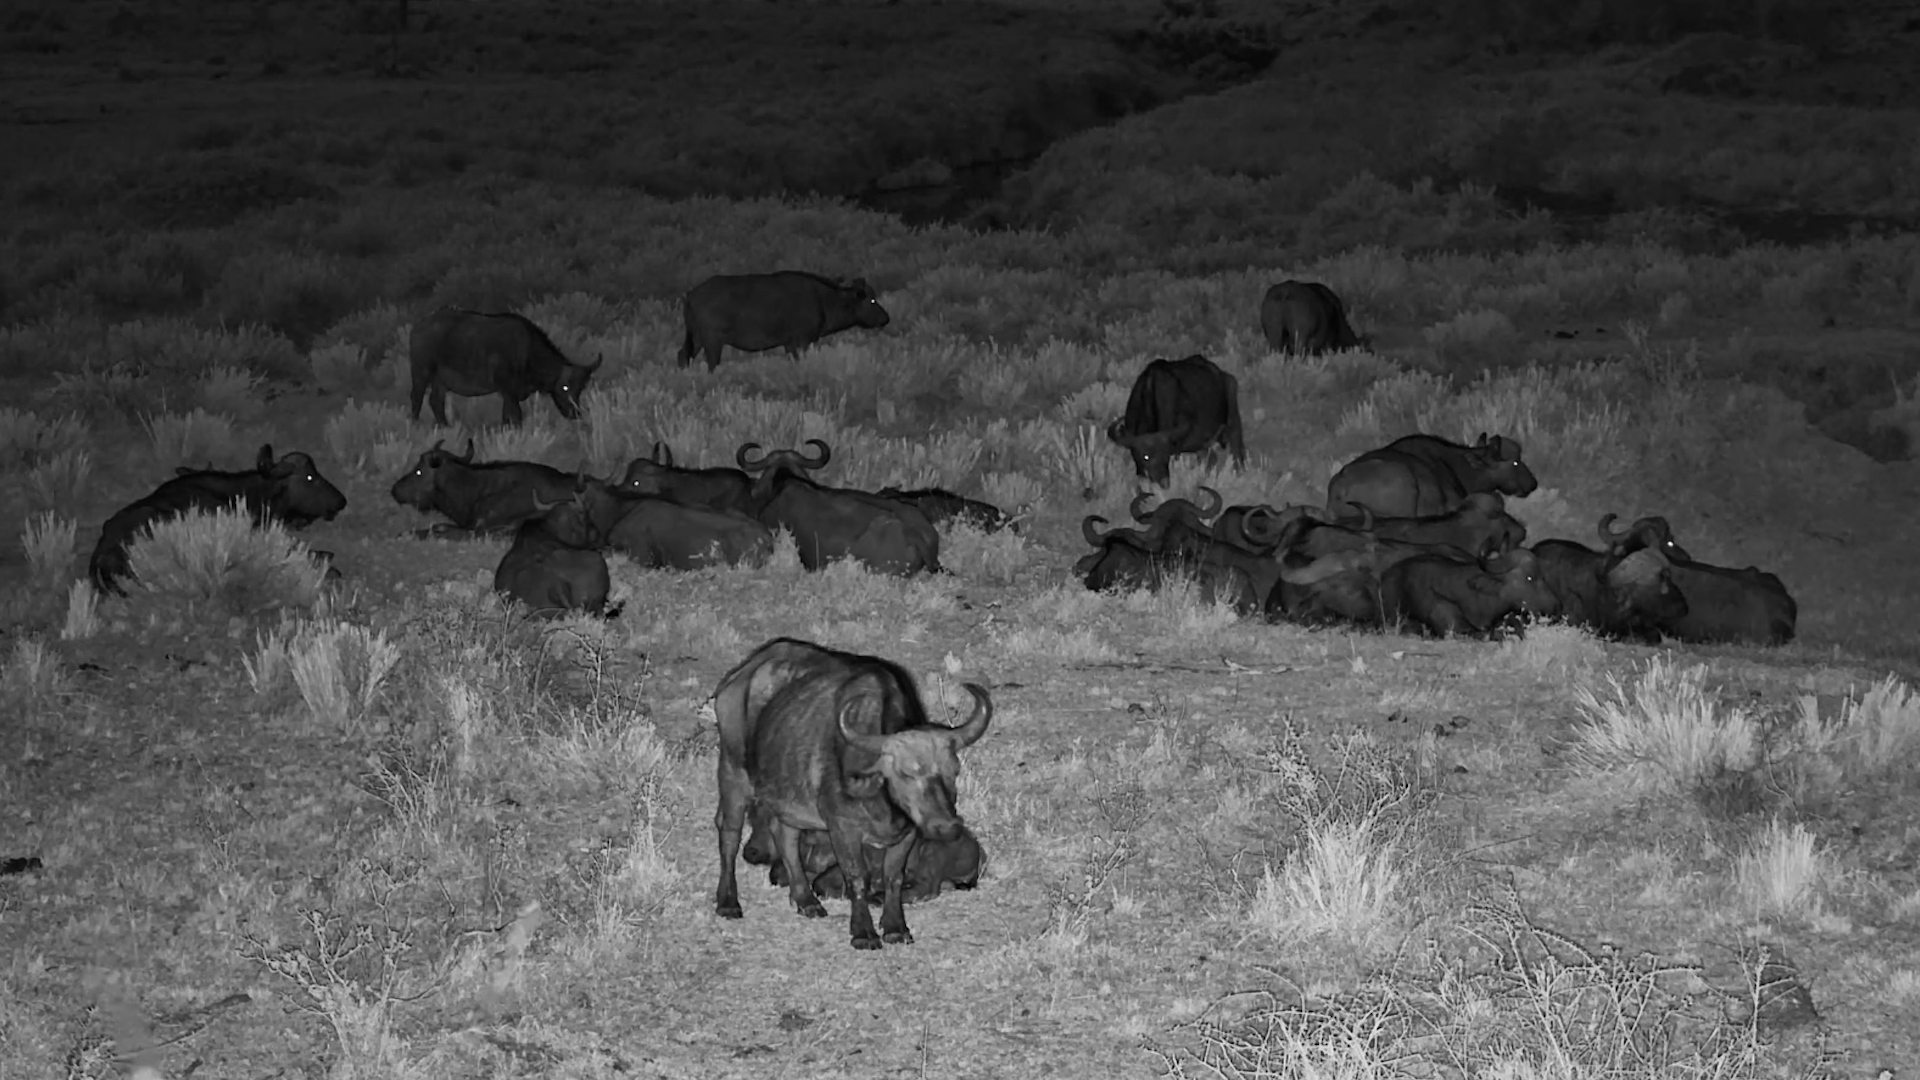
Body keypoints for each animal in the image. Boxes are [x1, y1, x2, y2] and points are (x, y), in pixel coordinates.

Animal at [408, 308, 603, 427]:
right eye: (565, 387)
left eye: (580, 389)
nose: (575, 414)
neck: (526, 351)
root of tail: (418, 327)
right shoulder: (509, 391)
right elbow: (516, 417)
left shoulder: (510, 394)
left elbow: (506, 417)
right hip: (421, 373)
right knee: (416, 400)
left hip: (440, 381)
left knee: (436, 402)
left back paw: (446, 427)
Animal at [679, 272, 891, 370]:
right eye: (872, 300)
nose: (886, 318)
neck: (822, 299)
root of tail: (691, 295)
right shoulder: (802, 342)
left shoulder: (790, 345)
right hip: (712, 341)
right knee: (712, 363)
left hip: (697, 338)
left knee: (683, 356)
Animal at [713, 638, 992, 950]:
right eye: (905, 772)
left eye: (953, 770)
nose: (946, 827)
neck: (883, 803)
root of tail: (741, 676)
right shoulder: (841, 828)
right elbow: (857, 877)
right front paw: (863, 932)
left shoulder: (907, 833)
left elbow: (893, 877)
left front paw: (895, 927)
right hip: (733, 771)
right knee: (729, 832)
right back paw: (728, 902)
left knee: (785, 835)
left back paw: (806, 900)